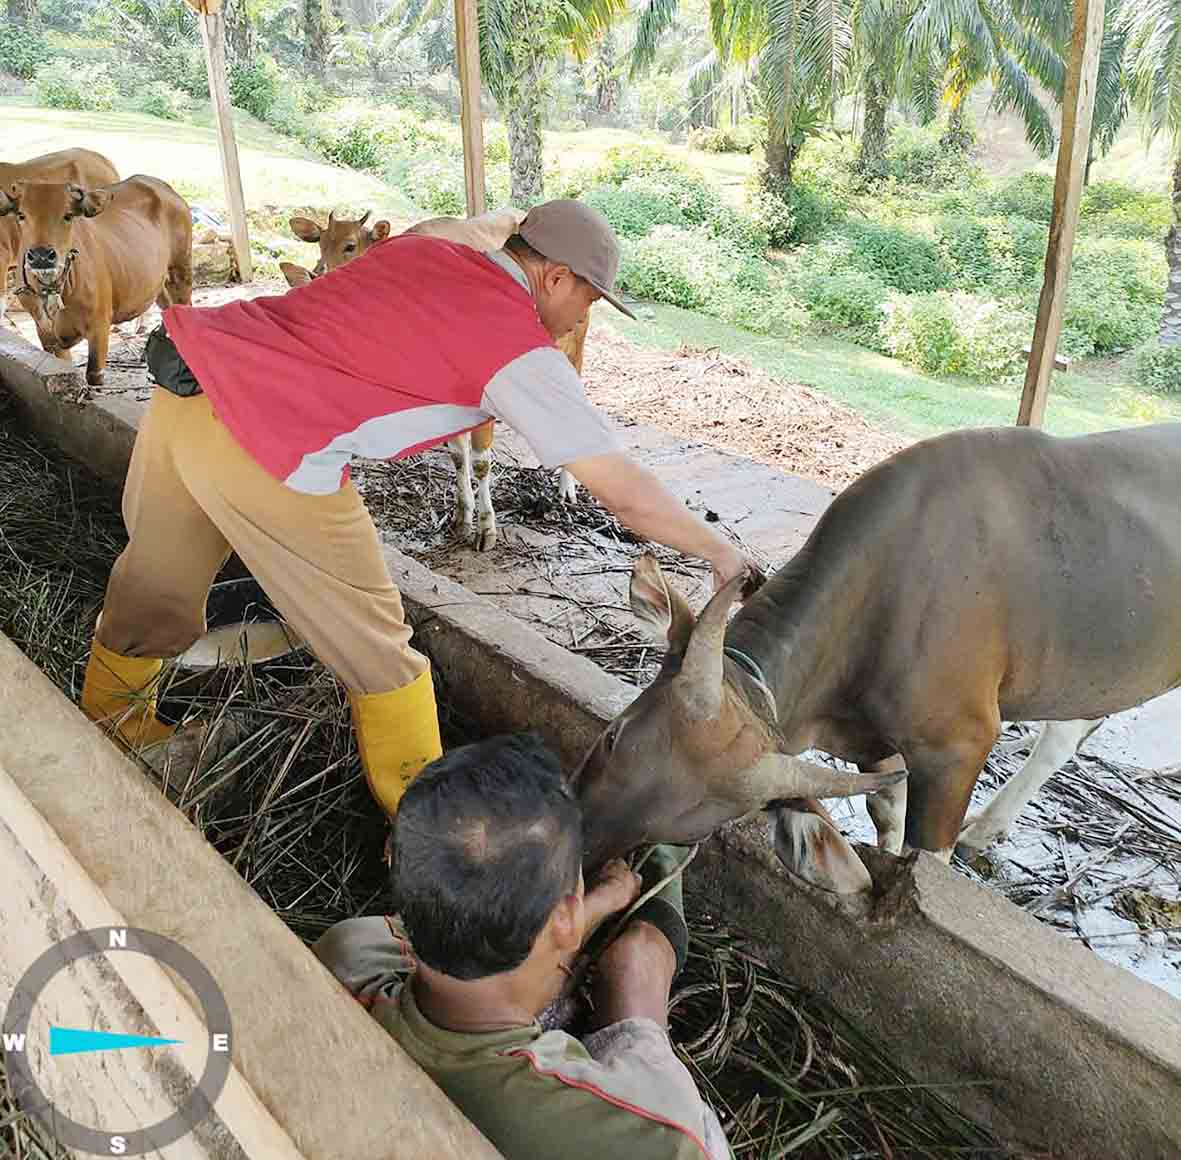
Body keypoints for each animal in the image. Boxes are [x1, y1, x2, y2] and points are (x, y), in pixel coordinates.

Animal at [1, 176, 191, 385]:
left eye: (68, 216)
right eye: (21, 215)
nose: (41, 256)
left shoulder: (99, 326)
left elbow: (93, 375)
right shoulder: (46, 334)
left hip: (181, 269)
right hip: (159, 283)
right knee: (168, 309)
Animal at [571, 425, 1181, 888]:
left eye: (688, 831)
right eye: (612, 739)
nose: (578, 854)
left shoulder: (960, 743)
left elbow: (924, 861)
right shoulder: (873, 739)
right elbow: (886, 810)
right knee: (1074, 725)